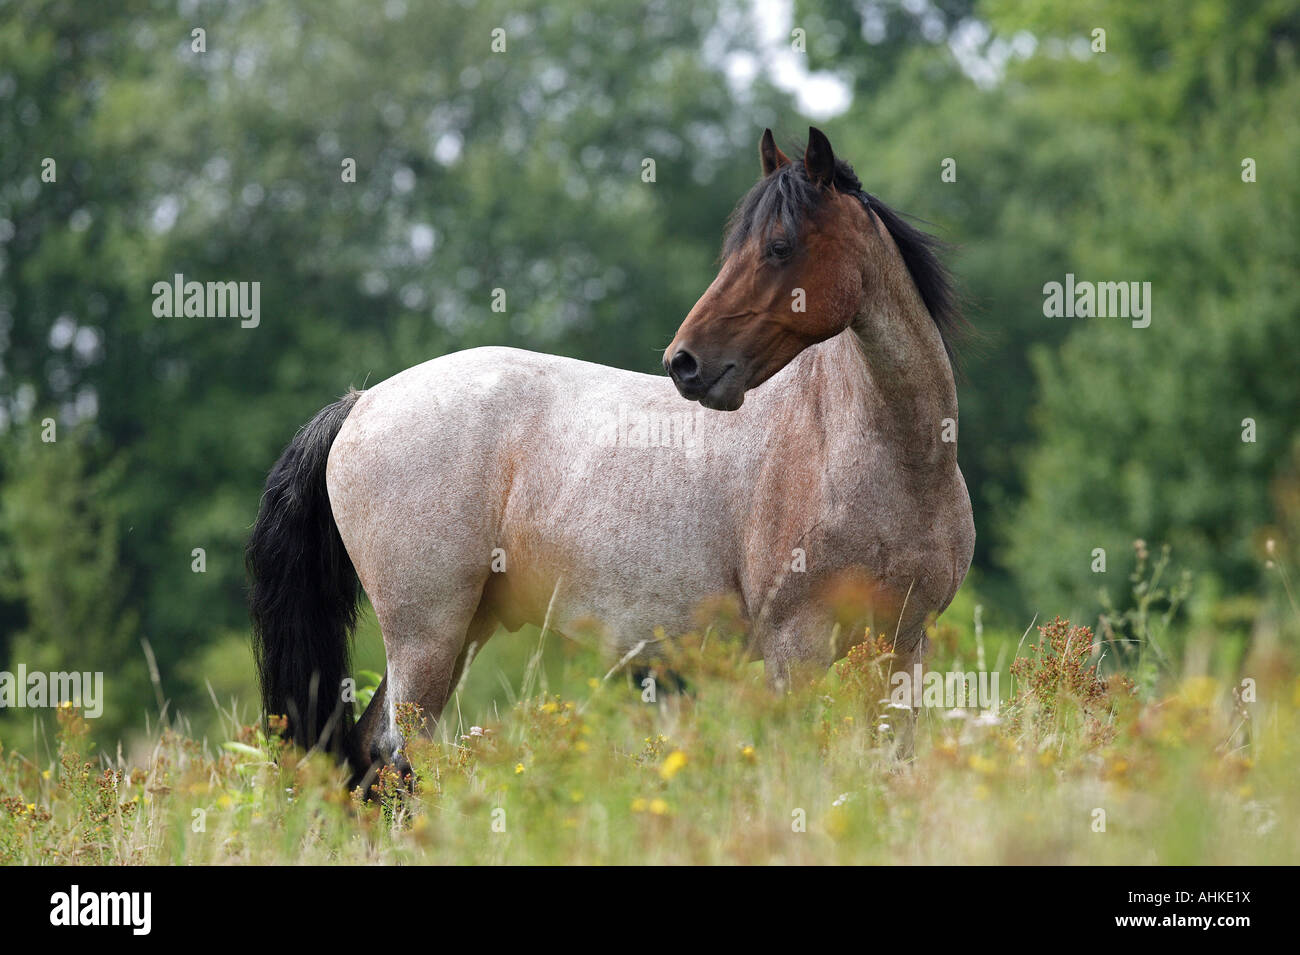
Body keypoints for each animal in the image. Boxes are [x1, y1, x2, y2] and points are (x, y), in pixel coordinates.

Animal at [244, 127, 977, 784]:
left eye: (778, 247)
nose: (685, 364)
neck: (878, 455)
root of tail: (362, 402)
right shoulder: (794, 648)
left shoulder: (904, 646)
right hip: (425, 635)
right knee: (402, 752)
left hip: (459, 631)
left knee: (371, 751)